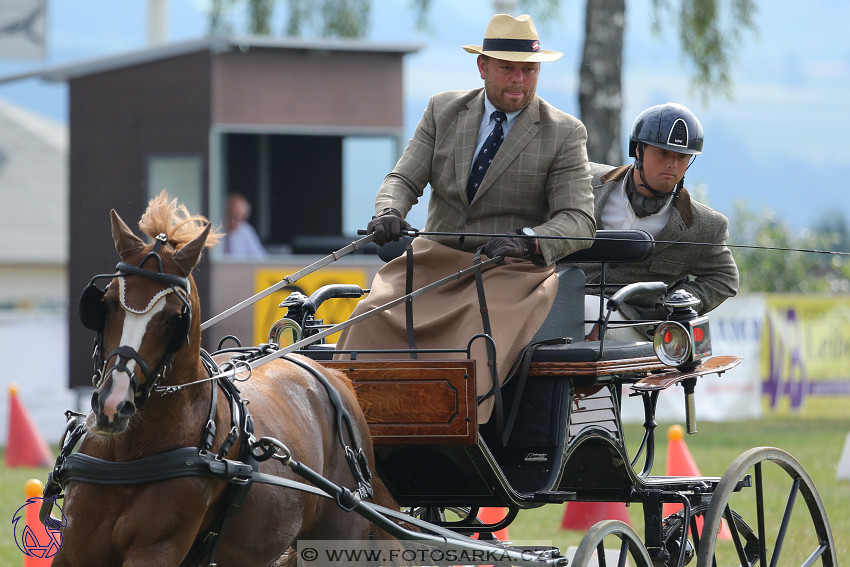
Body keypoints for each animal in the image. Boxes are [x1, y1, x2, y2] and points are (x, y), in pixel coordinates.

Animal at [47, 193, 390, 564]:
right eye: (106, 303)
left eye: (173, 318)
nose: (112, 405)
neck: (127, 455)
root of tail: (333, 376)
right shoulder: (75, 549)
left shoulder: (156, 550)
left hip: (339, 535)